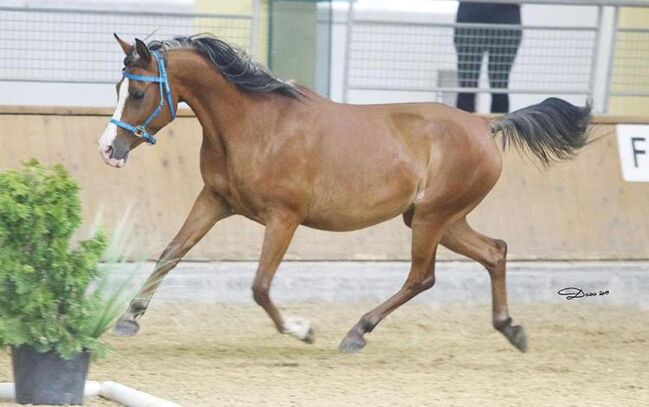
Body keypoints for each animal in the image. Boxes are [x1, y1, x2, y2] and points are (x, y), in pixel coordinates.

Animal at [98, 34, 588, 354]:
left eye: (137, 92)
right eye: (117, 87)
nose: (108, 150)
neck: (254, 126)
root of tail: (486, 126)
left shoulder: (284, 217)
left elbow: (259, 285)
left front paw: (301, 329)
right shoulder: (215, 201)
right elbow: (171, 253)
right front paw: (128, 318)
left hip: (433, 218)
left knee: (423, 276)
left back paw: (357, 332)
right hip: (440, 219)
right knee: (495, 252)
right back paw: (511, 329)